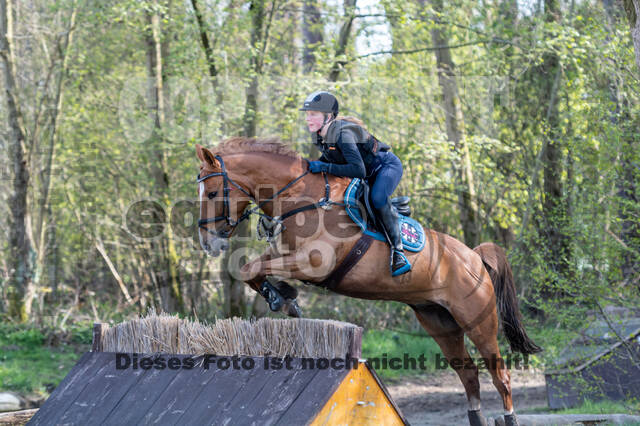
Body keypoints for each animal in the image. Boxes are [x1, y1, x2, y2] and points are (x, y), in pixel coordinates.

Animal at [195, 137, 540, 426]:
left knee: (500, 375)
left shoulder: (314, 263)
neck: (302, 199)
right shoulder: (285, 254)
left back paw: (509, 418)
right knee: (468, 374)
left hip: (478, 322)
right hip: (439, 322)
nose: (208, 243)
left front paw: (284, 297)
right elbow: (250, 269)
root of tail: (473, 257)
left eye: (212, 193)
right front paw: (282, 297)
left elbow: (252, 268)